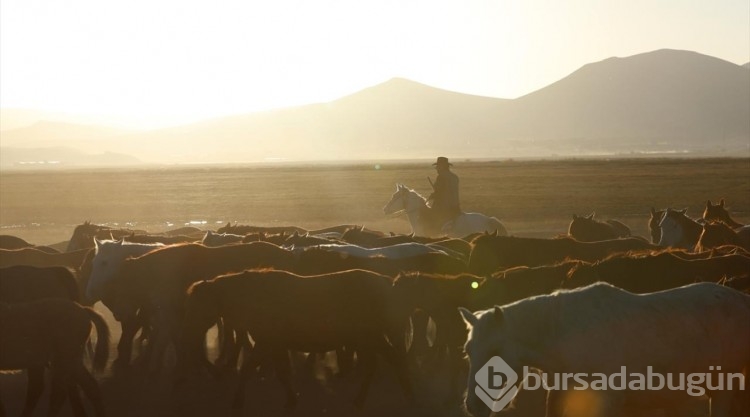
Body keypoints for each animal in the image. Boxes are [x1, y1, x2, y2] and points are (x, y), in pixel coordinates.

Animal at [183, 268, 414, 408]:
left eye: (198, 304)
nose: (188, 327)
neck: (254, 295)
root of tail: (389, 283)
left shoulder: (269, 342)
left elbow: (252, 369)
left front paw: (238, 402)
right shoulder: (272, 344)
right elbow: (280, 372)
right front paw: (291, 400)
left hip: (368, 338)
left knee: (389, 362)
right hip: (370, 338)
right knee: (386, 362)